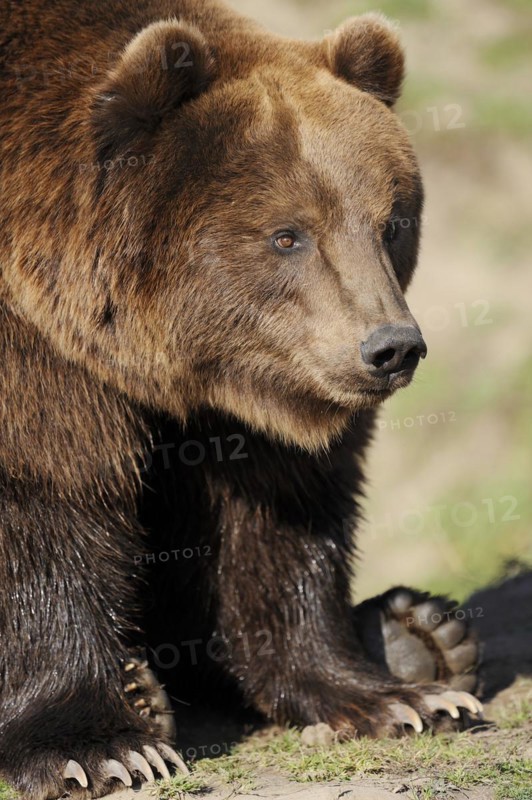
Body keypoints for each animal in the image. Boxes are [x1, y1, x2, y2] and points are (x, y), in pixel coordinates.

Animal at [0, 0, 481, 798]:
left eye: (391, 222)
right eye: (287, 235)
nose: (391, 347)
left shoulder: (255, 396)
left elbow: (274, 516)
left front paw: (394, 698)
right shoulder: (37, 360)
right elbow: (43, 498)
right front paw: (99, 748)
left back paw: (422, 634)